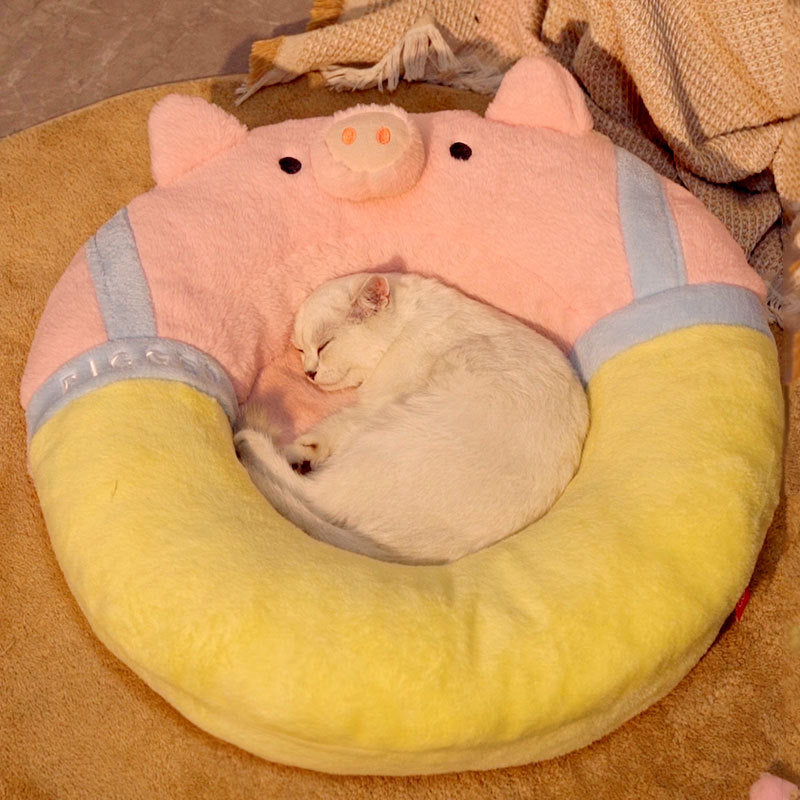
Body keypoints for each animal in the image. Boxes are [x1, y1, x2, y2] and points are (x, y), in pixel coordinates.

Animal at [234, 274, 592, 564]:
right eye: (300, 350)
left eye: (324, 346)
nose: (309, 373)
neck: (408, 323)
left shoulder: (375, 404)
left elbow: (334, 425)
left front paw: (302, 446)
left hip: (385, 431)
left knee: (304, 487)